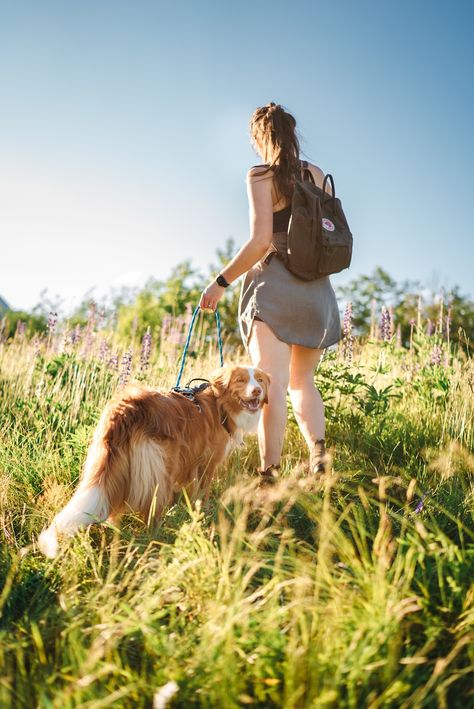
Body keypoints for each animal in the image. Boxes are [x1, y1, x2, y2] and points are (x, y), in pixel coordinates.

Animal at [38, 366, 268, 560]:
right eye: (240, 380)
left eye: (260, 380)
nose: (257, 391)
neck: (218, 403)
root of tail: (125, 408)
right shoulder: (207, 465)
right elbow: (202, 494)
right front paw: (202, 515)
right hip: (161, 469)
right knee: (152, 512)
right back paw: (156, 540)